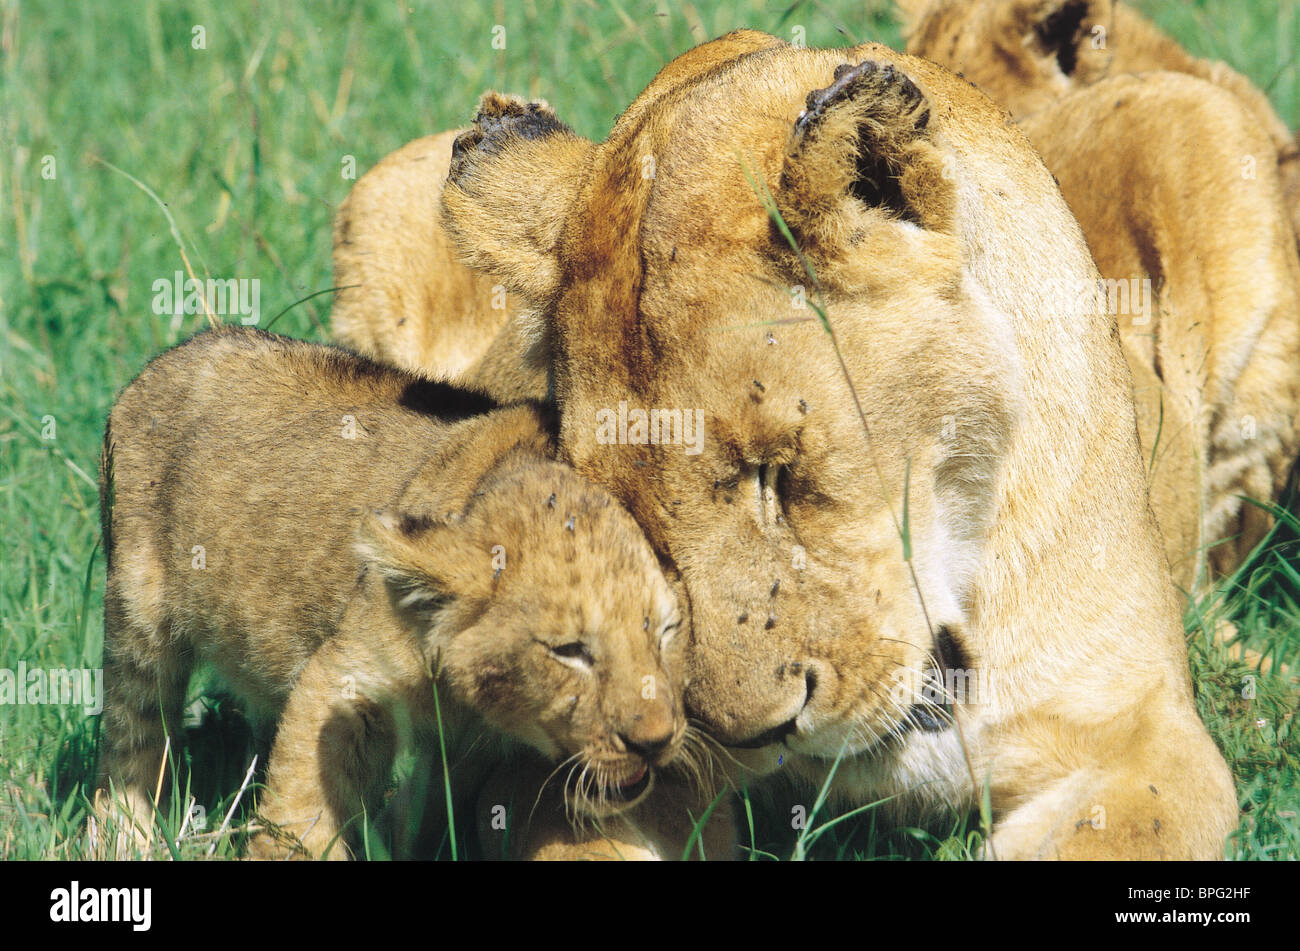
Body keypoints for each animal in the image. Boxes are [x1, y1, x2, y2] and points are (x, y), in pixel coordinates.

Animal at [93, 325, 725, 860]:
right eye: (568, 651)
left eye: (667, 632)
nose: (654, 741)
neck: (474, 704)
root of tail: (171, 356)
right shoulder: (340, 682)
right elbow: (301, 812)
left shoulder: (465, 755)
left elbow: (421, 817)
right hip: (136, 616)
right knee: (130, 739)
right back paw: (123, 838)